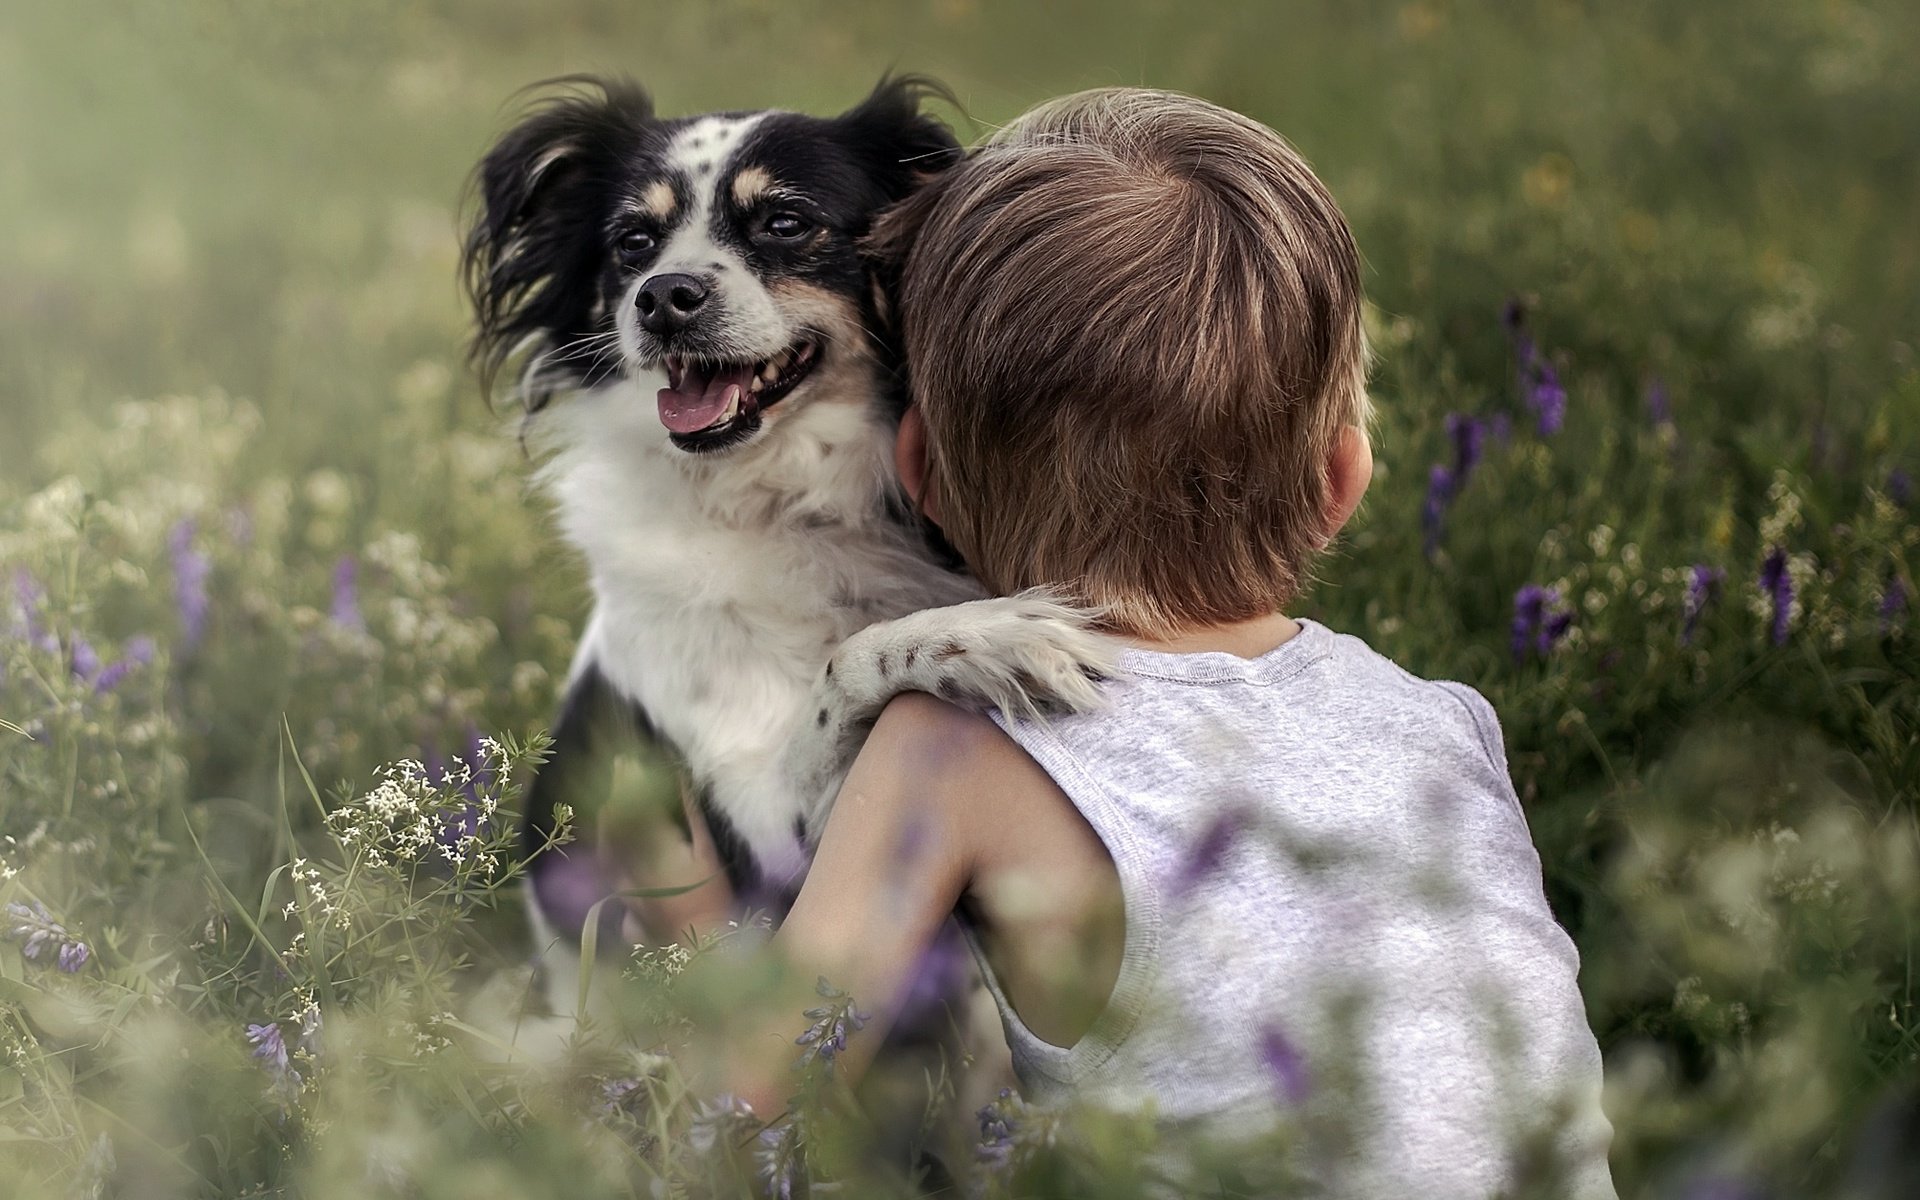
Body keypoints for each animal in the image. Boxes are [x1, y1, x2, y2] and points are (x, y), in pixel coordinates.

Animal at [460, 72, 1113, 990]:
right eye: (632, 241)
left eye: (785, 222)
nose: (662, 298)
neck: (775, 497)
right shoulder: (773, 854)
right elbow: (853, 665)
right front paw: (991, 638)